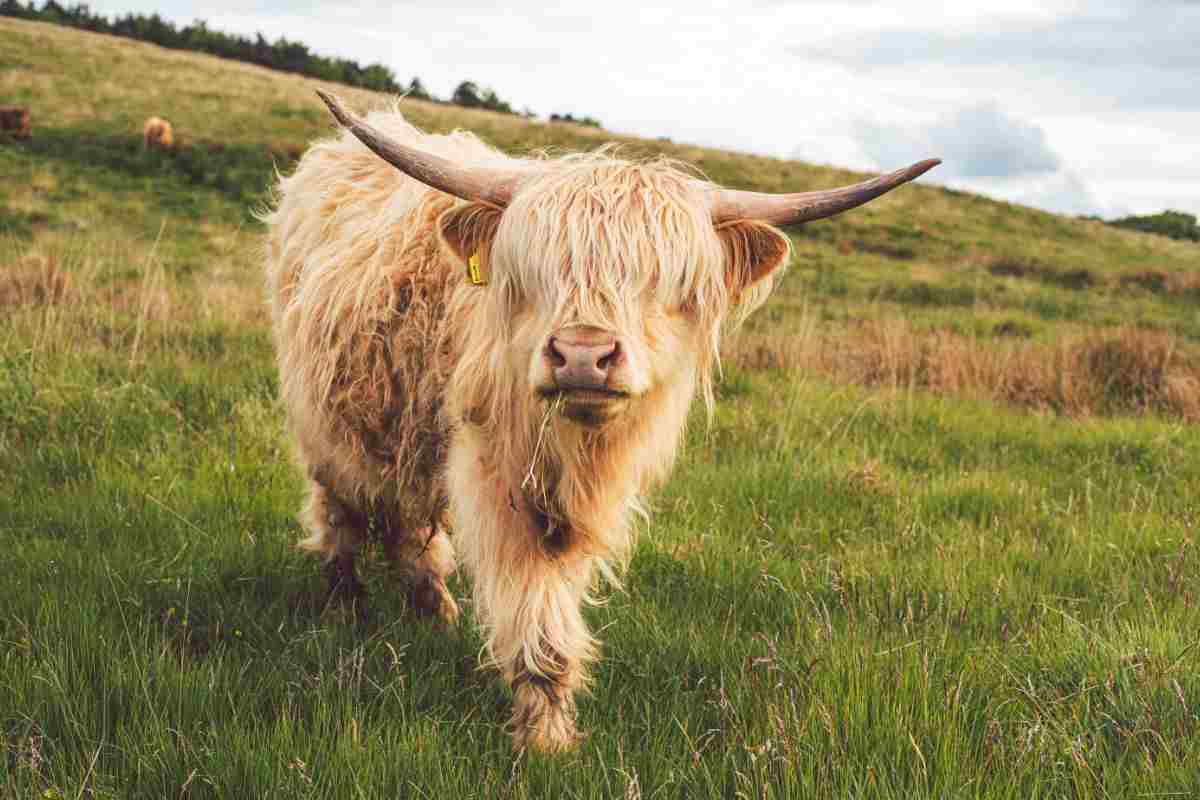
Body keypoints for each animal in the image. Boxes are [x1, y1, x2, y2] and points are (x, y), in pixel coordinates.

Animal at [262, 90, 937, 752]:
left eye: (668, 281)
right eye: (534, 273)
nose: (582, 354)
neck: (575, 448)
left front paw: (549, 729)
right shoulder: (498, 477)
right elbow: (535, 613)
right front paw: (543, 740)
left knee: (408, 520)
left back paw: (434, 609)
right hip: (323, 415)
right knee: (342, 506)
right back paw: (345, 604)